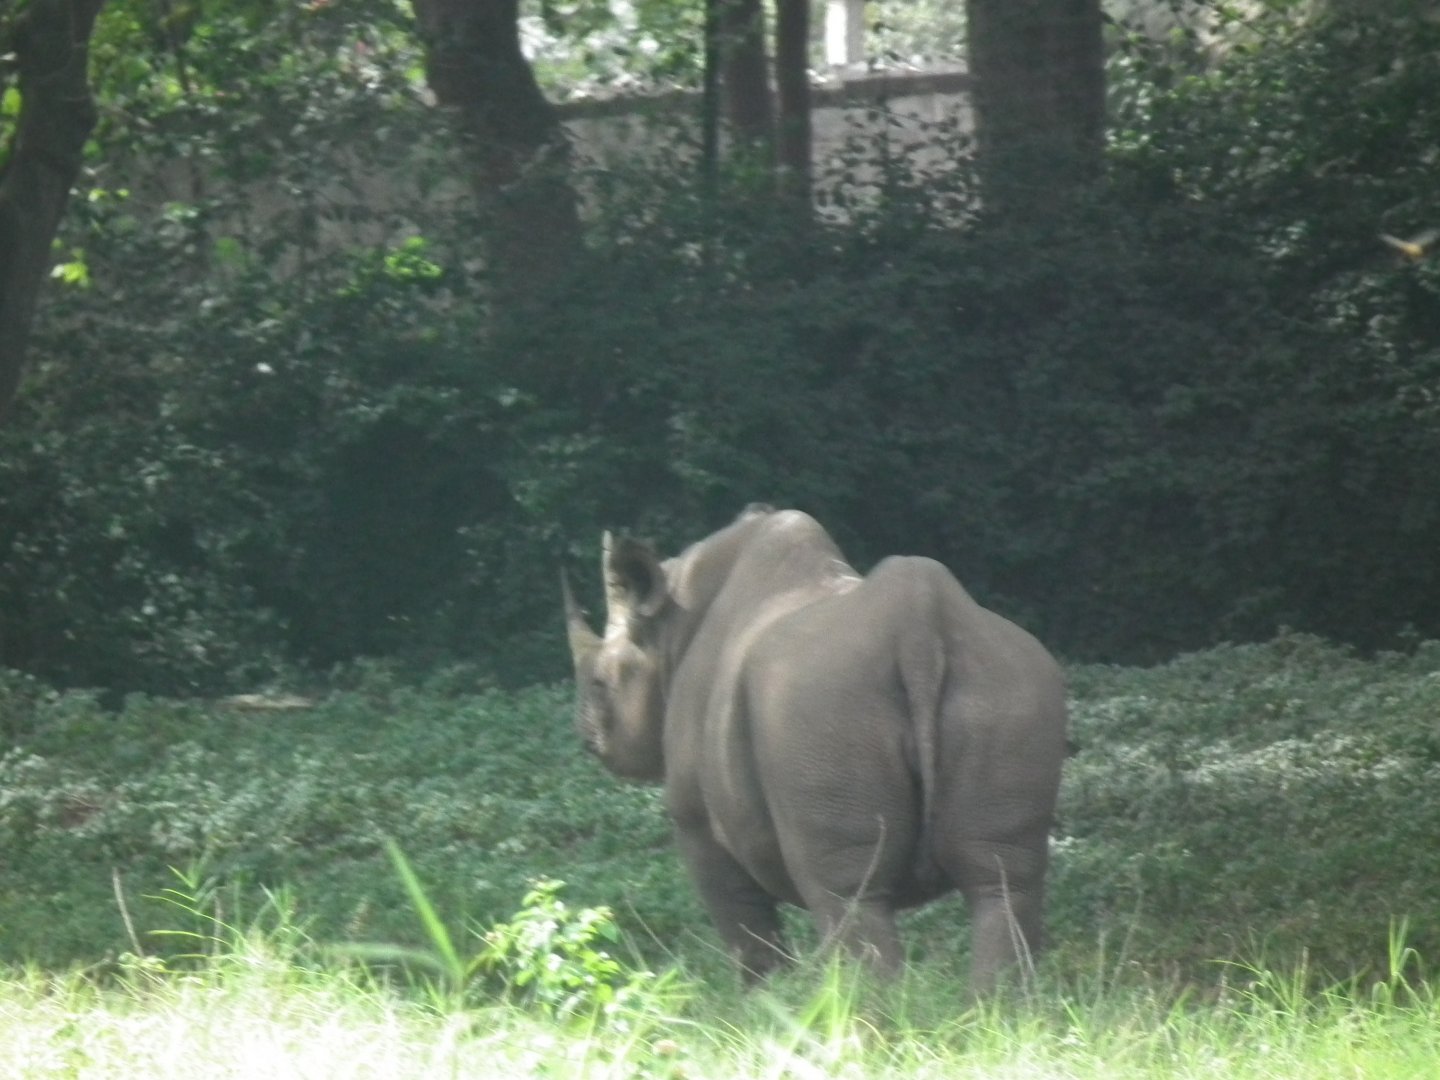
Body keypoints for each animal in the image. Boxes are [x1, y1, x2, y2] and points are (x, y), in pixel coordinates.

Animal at [563, 505, 1067, 993]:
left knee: (847, 894)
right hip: (1010, 688)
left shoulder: (696, 821)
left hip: (818, 702)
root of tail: (920, 628)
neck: (672, 627)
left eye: (599, 682)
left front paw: (764, 1004)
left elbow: (745, 925)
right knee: (1002, 882)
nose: (586, 737)